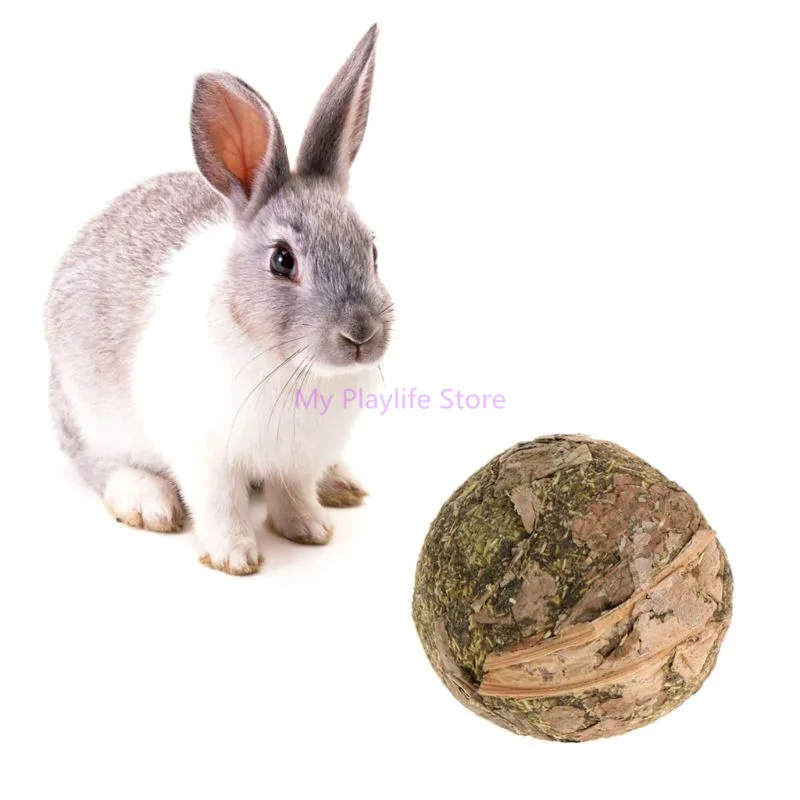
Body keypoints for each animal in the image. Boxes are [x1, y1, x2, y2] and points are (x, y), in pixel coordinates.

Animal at [44, 24, 393, 576]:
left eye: (373, 250)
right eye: (282, 261)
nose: (361, 334)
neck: (289, 367)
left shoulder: (297, 460)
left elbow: (292, 494)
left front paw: (309, 529)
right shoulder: (204, 455)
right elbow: (220, 504)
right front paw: (234, 557)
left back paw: (340, 484)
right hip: (87, 415)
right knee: (95, 463)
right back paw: (146, 500)